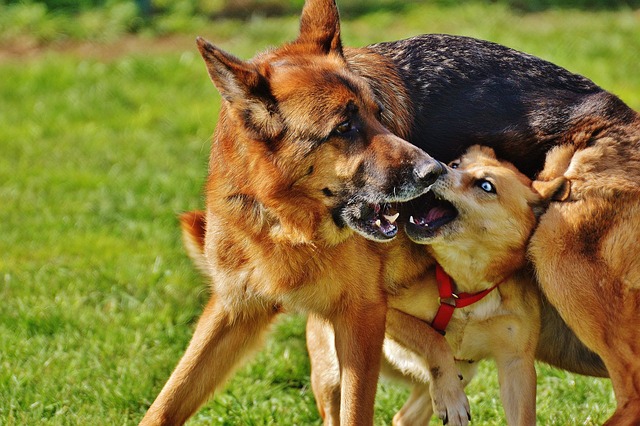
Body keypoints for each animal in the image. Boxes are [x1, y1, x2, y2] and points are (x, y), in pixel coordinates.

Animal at [308, 145, 568, 424]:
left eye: (486, 185)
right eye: (455, 165)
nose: (437, 167)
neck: (465, 289)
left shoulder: (516, 364)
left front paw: (451, 400)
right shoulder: (384, 313)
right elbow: (433, 338)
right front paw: (452, 400)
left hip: (463, 372)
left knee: (404, 417)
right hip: (334, 374)